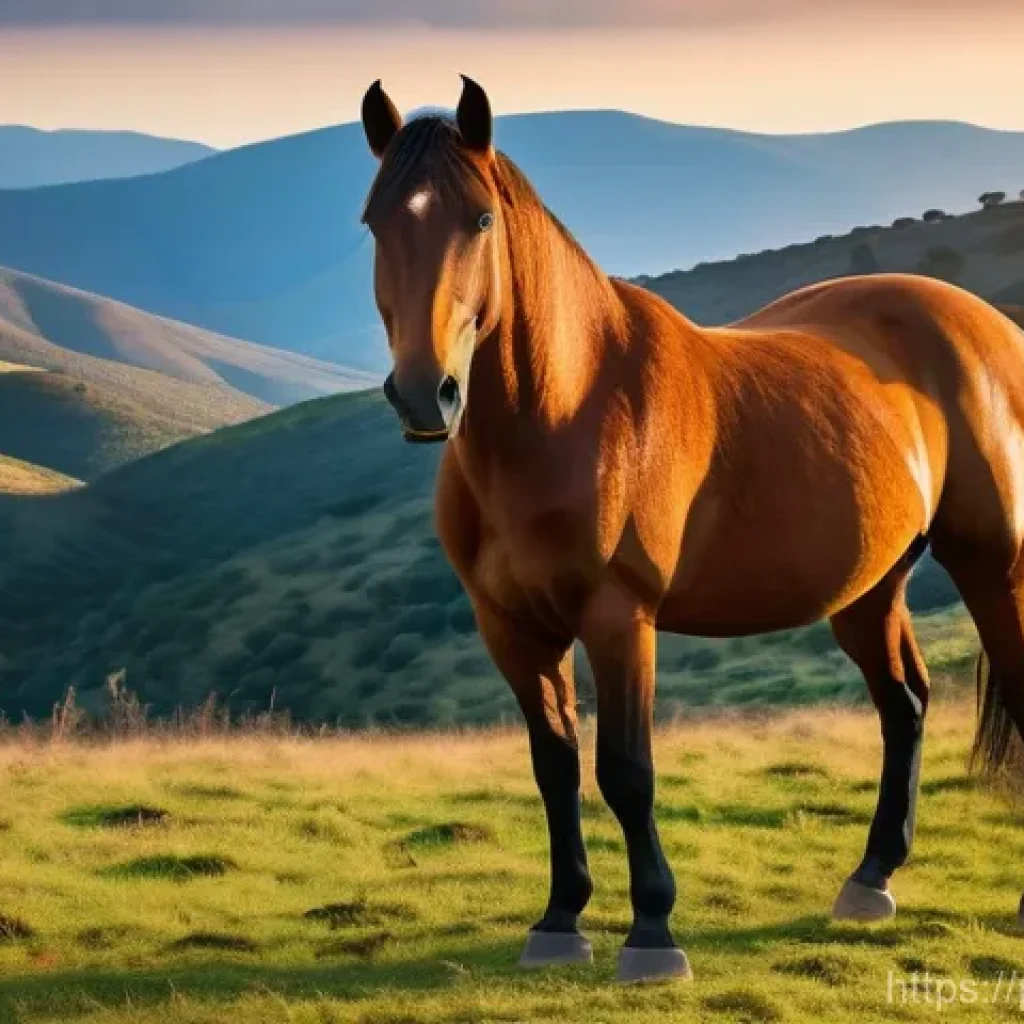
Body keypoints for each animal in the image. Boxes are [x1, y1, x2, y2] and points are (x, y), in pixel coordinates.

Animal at [360, 76, 1024, 983]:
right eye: (374, 221)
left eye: (481, 220)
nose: (427, 393)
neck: (565, 412)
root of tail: (989, 327)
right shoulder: (512, 629)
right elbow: (554, 766)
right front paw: (560, 920)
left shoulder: (620, 617)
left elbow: (625, 770)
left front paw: (652, 934)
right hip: (870, 588)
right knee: (906, 704)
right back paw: (870, 880)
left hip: (994, 564)